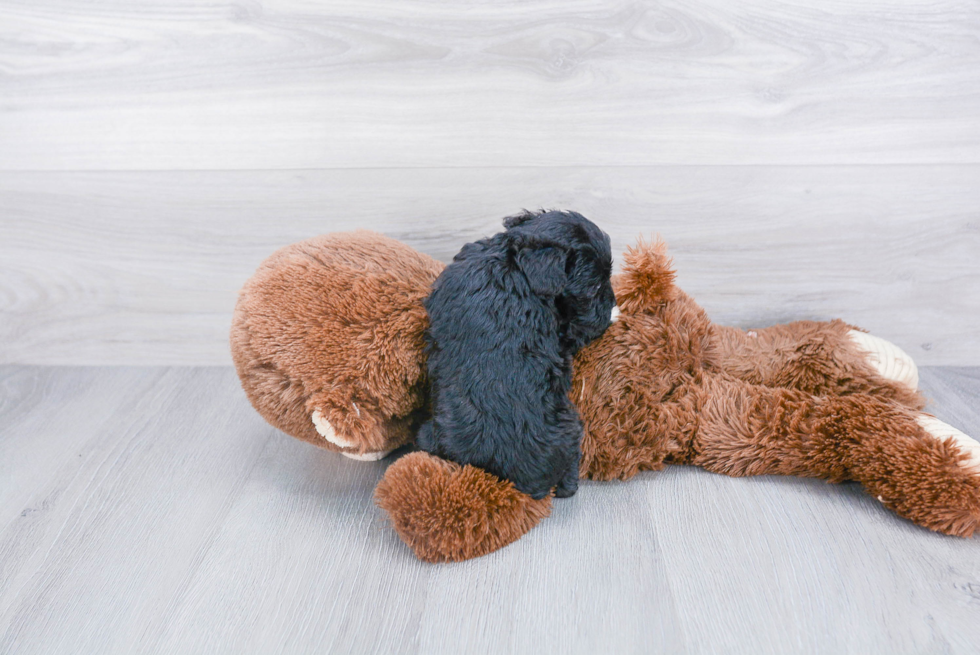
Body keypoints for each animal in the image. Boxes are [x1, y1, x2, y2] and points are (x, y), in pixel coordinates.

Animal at [416, 213, 616, 500]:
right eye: (595, 287)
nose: (613, 302)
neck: (512, 261)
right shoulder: (568, 331)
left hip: (427, 435)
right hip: (571, 428)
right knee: (569, 473)